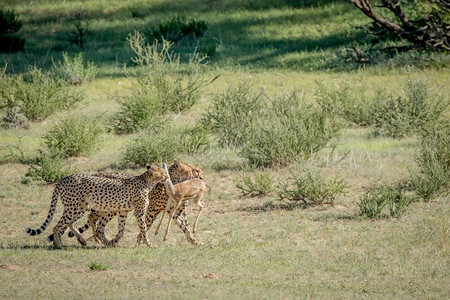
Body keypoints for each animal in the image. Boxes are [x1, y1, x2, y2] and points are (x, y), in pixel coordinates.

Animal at [26, 165, 168, 247]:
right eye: (162, 172)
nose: (167, 176)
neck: (147, 181)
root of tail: (64, 178)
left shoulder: (123, 211)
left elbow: (121, 231)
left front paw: (114, 241)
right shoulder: (138, 212)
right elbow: (144, 228)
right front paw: (149, 243)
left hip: (81, 207)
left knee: (71, 223)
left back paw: (85, 241)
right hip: (75, 207)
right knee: (58, 225)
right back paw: (59, 245)